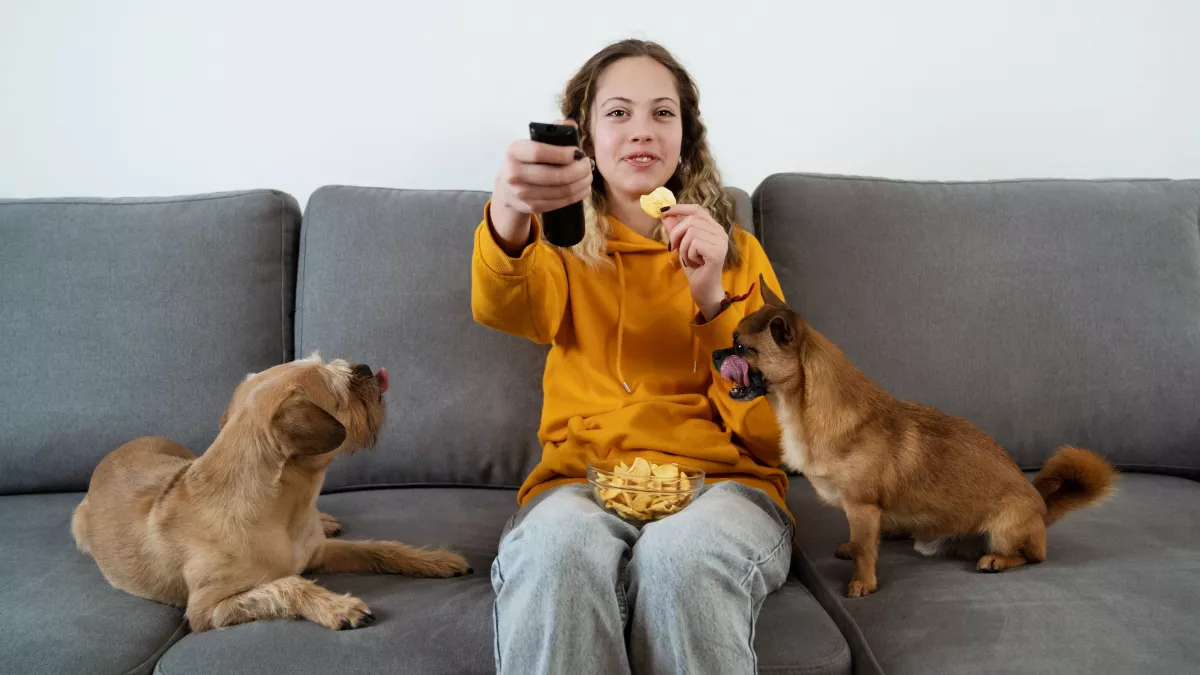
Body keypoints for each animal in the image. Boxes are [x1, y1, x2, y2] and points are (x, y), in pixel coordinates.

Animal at [69, 353, 472, 629]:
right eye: (339, 391)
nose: (364, 368)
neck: (286, 509)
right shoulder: (208, 610)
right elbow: (288, 585)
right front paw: (338, 607)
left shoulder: (319, 551)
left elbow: (379, 548)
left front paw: (434, 559)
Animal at [710, 276, 1113, 595]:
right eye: (731, 340)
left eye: (742, 348)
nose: (716, 353)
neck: (805, 410)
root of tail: (1042, 509)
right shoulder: (863, 514)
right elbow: (861, 541)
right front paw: (853, 550)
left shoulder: (863, 506)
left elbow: (865, 550)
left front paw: (863, 583)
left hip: (1005, 529)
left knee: (1031, 557)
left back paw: (996, 560)